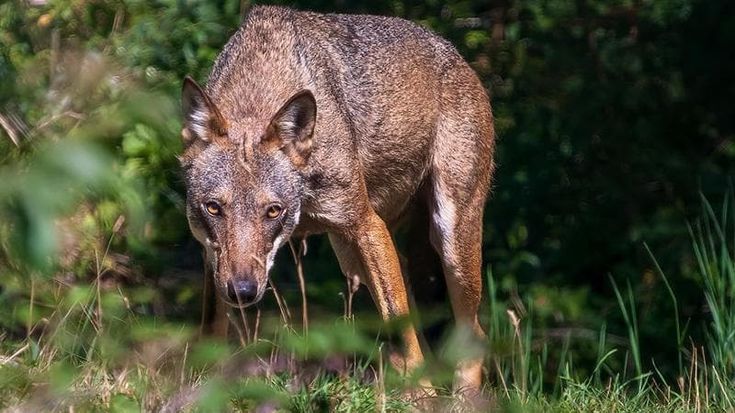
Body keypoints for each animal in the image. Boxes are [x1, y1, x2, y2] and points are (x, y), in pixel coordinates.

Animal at [180, 5, 495, 392]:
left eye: (273, 211)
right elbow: (211, 331)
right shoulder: (211, 254)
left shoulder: (366, 224)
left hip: (449, 242)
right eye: (213, 208)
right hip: (352, 256)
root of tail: (457, 55)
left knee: (471, 335)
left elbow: (403, 328)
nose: (243, 290)